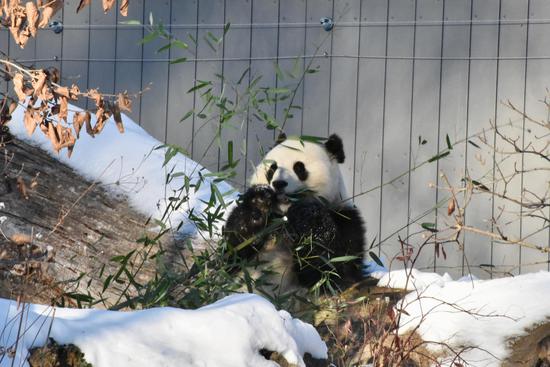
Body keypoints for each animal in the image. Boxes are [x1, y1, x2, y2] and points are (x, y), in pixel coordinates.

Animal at [224, 134, 366, 292]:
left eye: (299, 168)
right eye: (272, 168)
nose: (278, 184)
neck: (284, 216)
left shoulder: (345, 218)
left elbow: (331, 266)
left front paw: (307, 215)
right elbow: (232, 254)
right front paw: (259, 201)